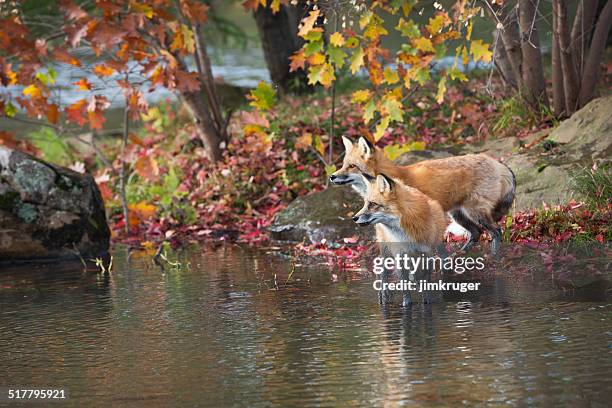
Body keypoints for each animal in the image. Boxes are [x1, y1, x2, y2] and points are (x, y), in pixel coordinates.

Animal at [330, 135, 516, 253]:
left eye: (352, 166)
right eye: (343, 164)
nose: (332, 176)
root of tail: (497, 162)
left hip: (475, 212)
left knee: (496, 232)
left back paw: (494, 257)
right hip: (458, 214)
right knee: (476, 233)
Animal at [352, 174, 448, 304]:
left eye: (373, 204)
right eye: (366, 204)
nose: (354, 218)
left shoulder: (426, 253)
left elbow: (425, 281)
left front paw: (426, 301)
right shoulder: (400, 255)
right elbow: (404, 285)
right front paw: (406, 304)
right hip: (386, 249)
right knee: (381, 266)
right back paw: (384, 294)